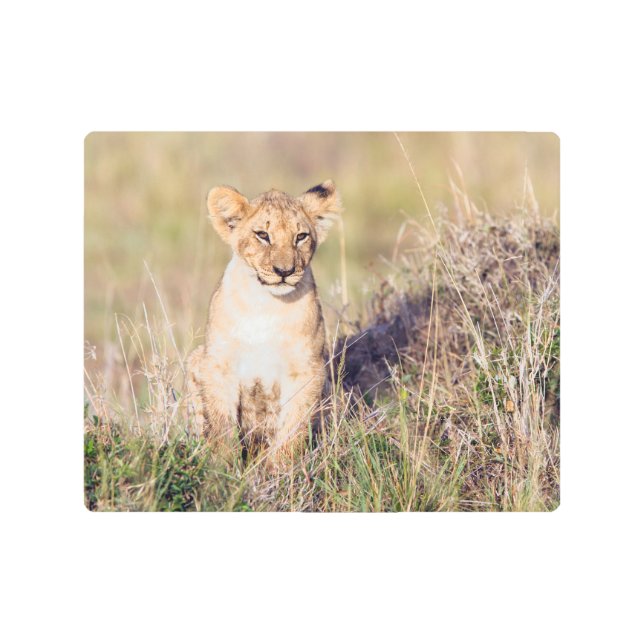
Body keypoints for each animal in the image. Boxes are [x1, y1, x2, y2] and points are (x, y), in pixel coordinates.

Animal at [186, 180, 341, 465]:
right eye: (262, 235)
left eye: (300, 237)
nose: (284, 271)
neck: (267, 305)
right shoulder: (218, 364)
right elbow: (221, 425)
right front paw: (223, 468)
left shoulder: (307, 370)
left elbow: (292, 428)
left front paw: (281, 470)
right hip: (195, 358)